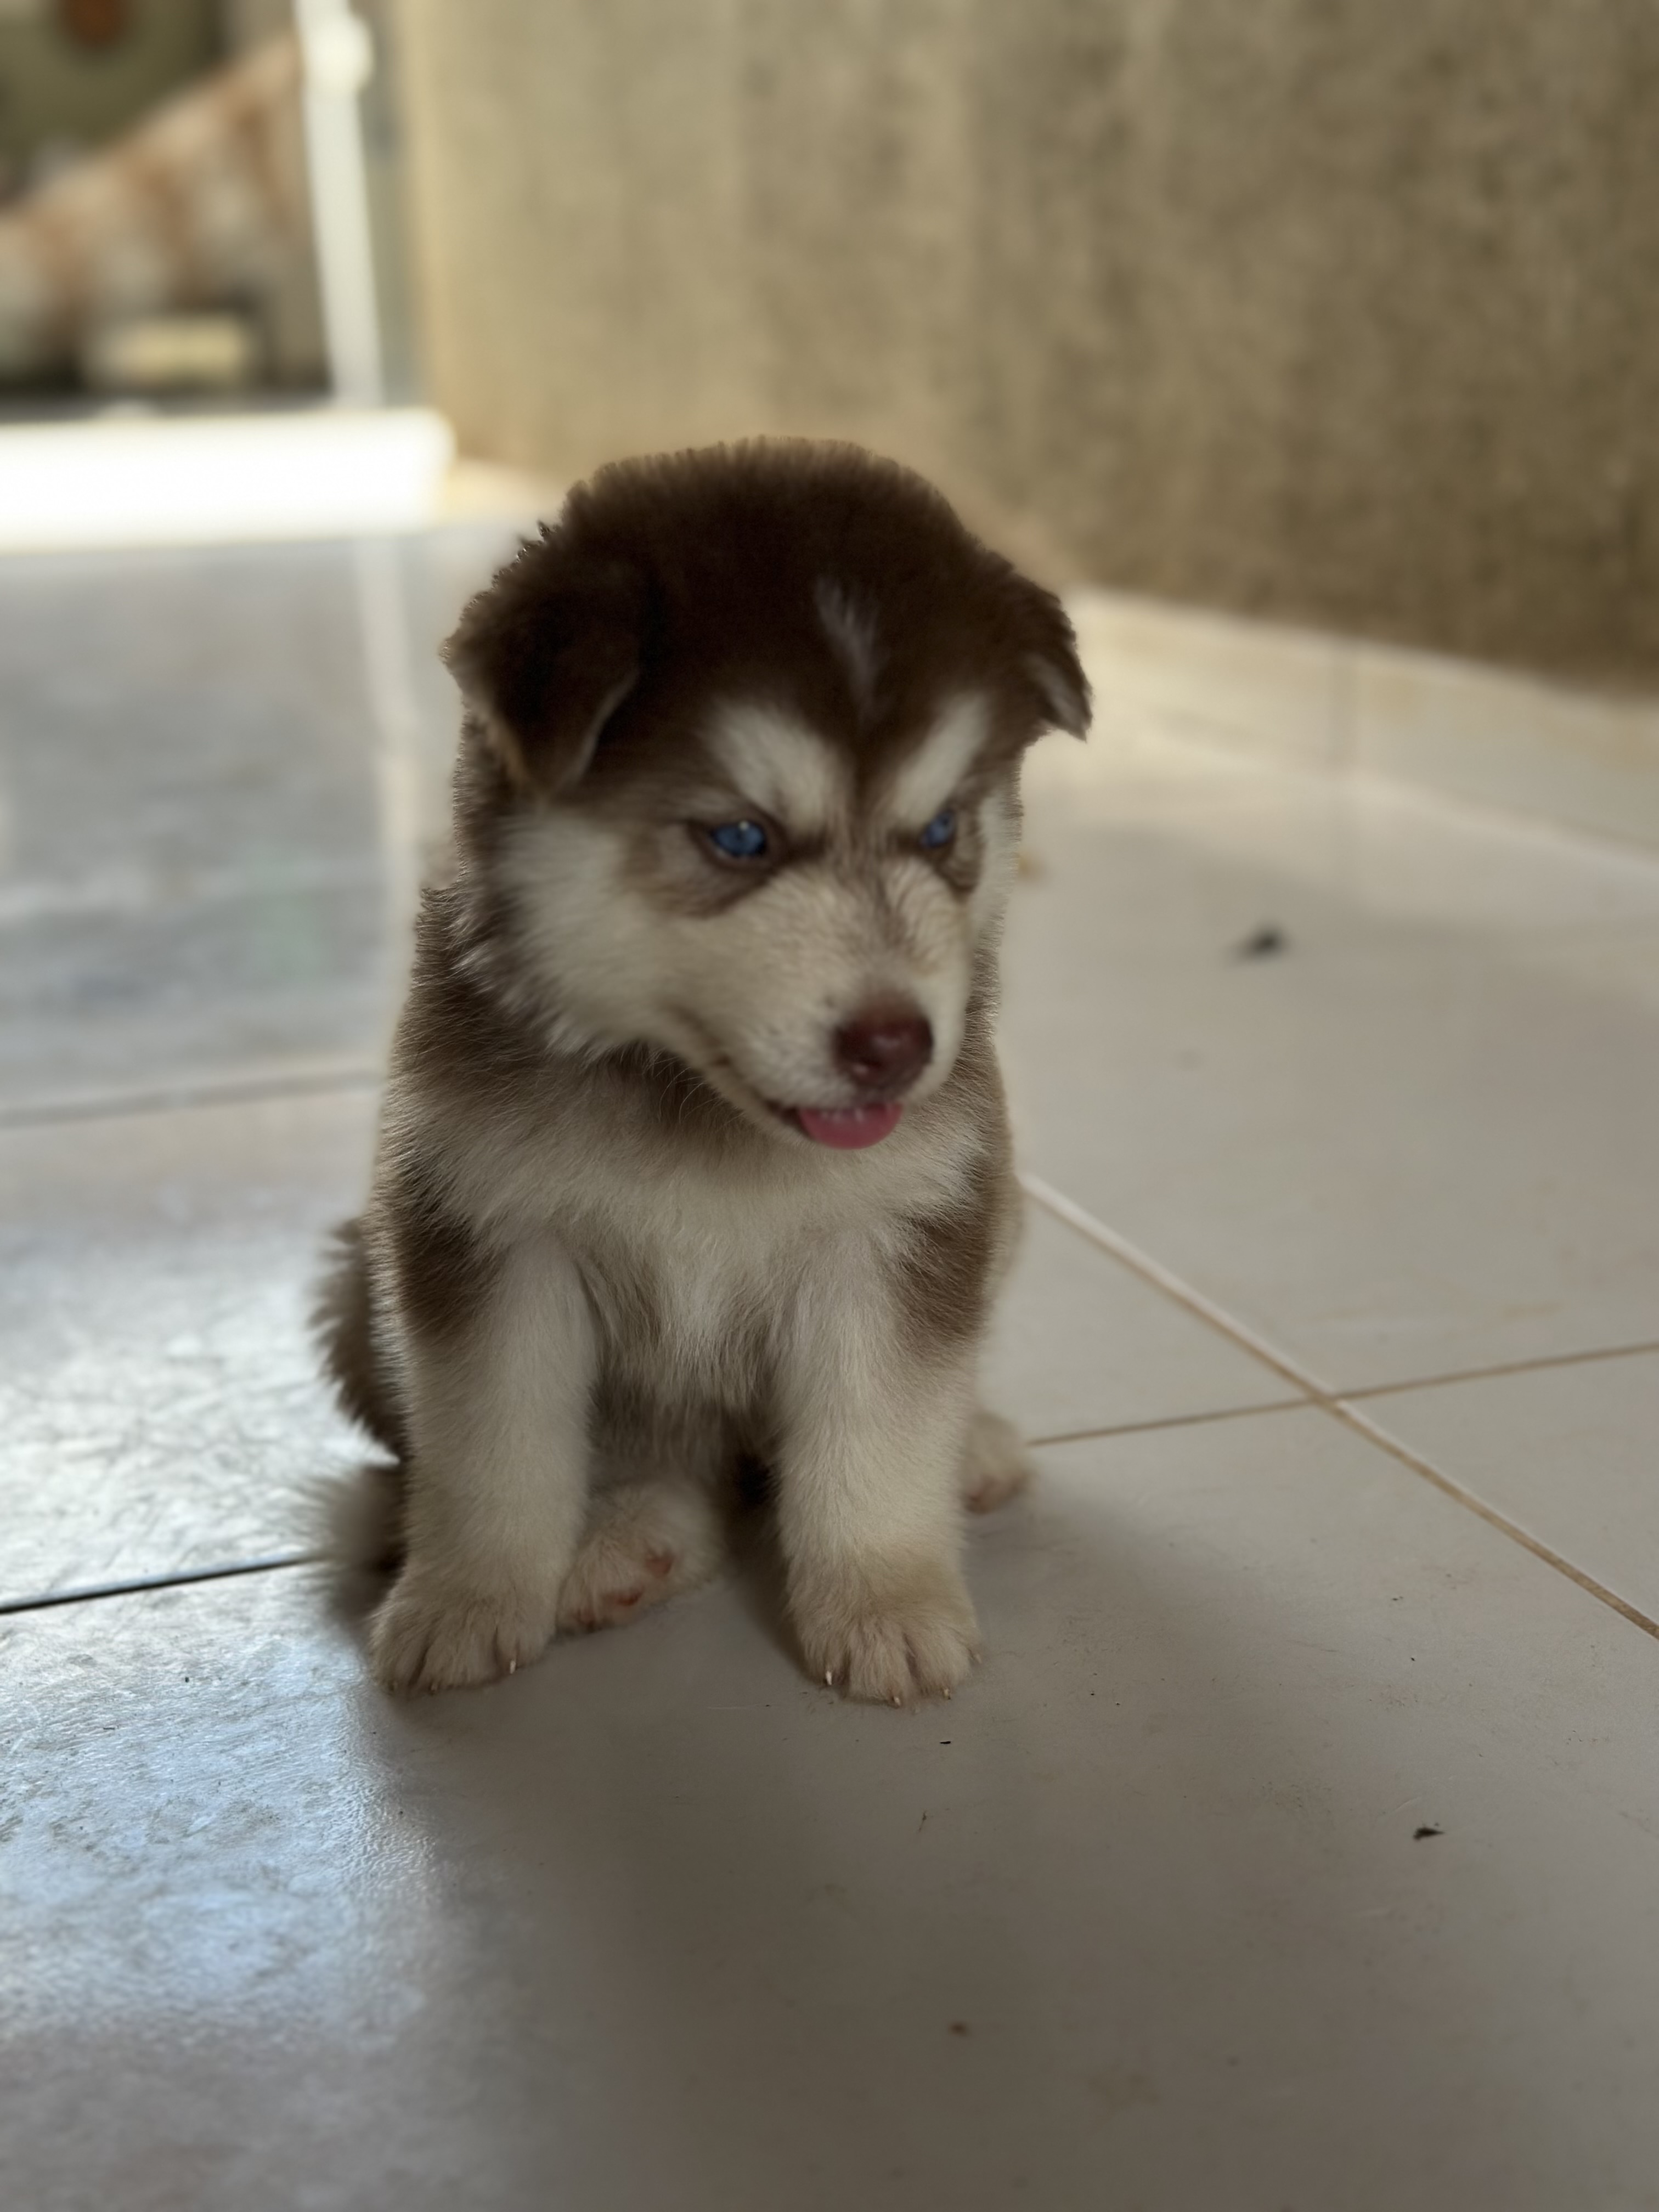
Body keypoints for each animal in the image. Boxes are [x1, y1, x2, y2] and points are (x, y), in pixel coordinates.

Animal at [314, 440, 1092, 1699]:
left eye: (941, 833)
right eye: (740, 839)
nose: (898, 1046)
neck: (696, 1102)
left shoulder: (901, 1231)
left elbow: (882, 1430)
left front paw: (886, 1598)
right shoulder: (483, 1230)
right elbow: (490, 1448)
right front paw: (465, 1599)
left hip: (1002, 1209)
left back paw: (971, 1448)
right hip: (355, 1274)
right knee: (670, 1465)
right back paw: (629, 1539)